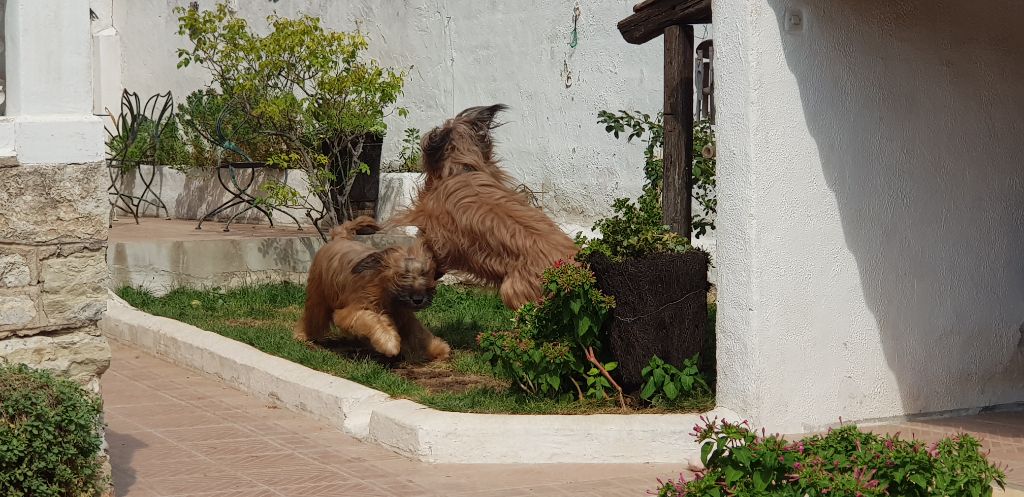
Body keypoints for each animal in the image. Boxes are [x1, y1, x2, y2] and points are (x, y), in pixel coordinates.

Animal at [299, 215, 454, 362]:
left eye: (425, 273)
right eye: (402, 275)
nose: (418, 299)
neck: (387, 293)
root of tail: (340, 238)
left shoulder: (403, 314)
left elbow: (417, 332)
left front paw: (436, 348)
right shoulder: (353, 310)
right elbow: (372, 319)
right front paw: (389, 342)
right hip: (318, 293)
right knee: (313, 315)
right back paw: (303, 335)